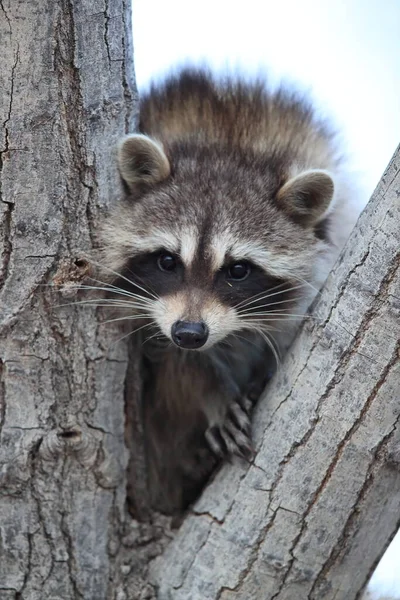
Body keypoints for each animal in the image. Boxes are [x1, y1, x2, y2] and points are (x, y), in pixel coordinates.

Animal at [99, 68, 356, 512]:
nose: (189, 333)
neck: (228, 143)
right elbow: (173, 362)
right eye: (167, 261)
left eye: (237, 270)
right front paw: (211, 391)